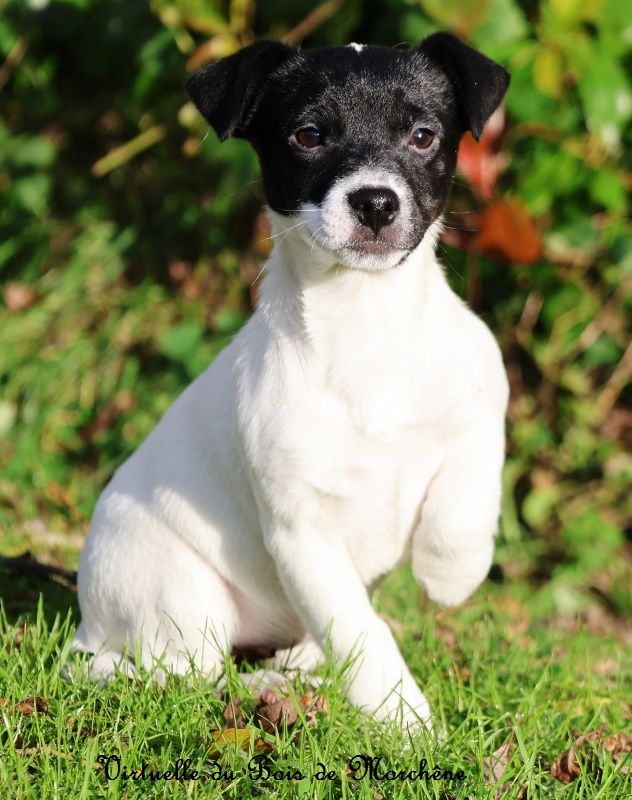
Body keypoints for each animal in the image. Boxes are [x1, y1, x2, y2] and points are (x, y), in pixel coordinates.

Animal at [73, 34, 508, 728]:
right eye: (309, 135)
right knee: (176, 674)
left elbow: (469, 489)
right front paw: (404, 720)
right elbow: (362, 630)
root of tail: (86, 627)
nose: (375, 201)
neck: (364, 324)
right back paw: (268, 686)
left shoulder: (482, 401)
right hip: (183, 599)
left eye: (422, 135)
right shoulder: (303, 535)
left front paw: (451, 572)